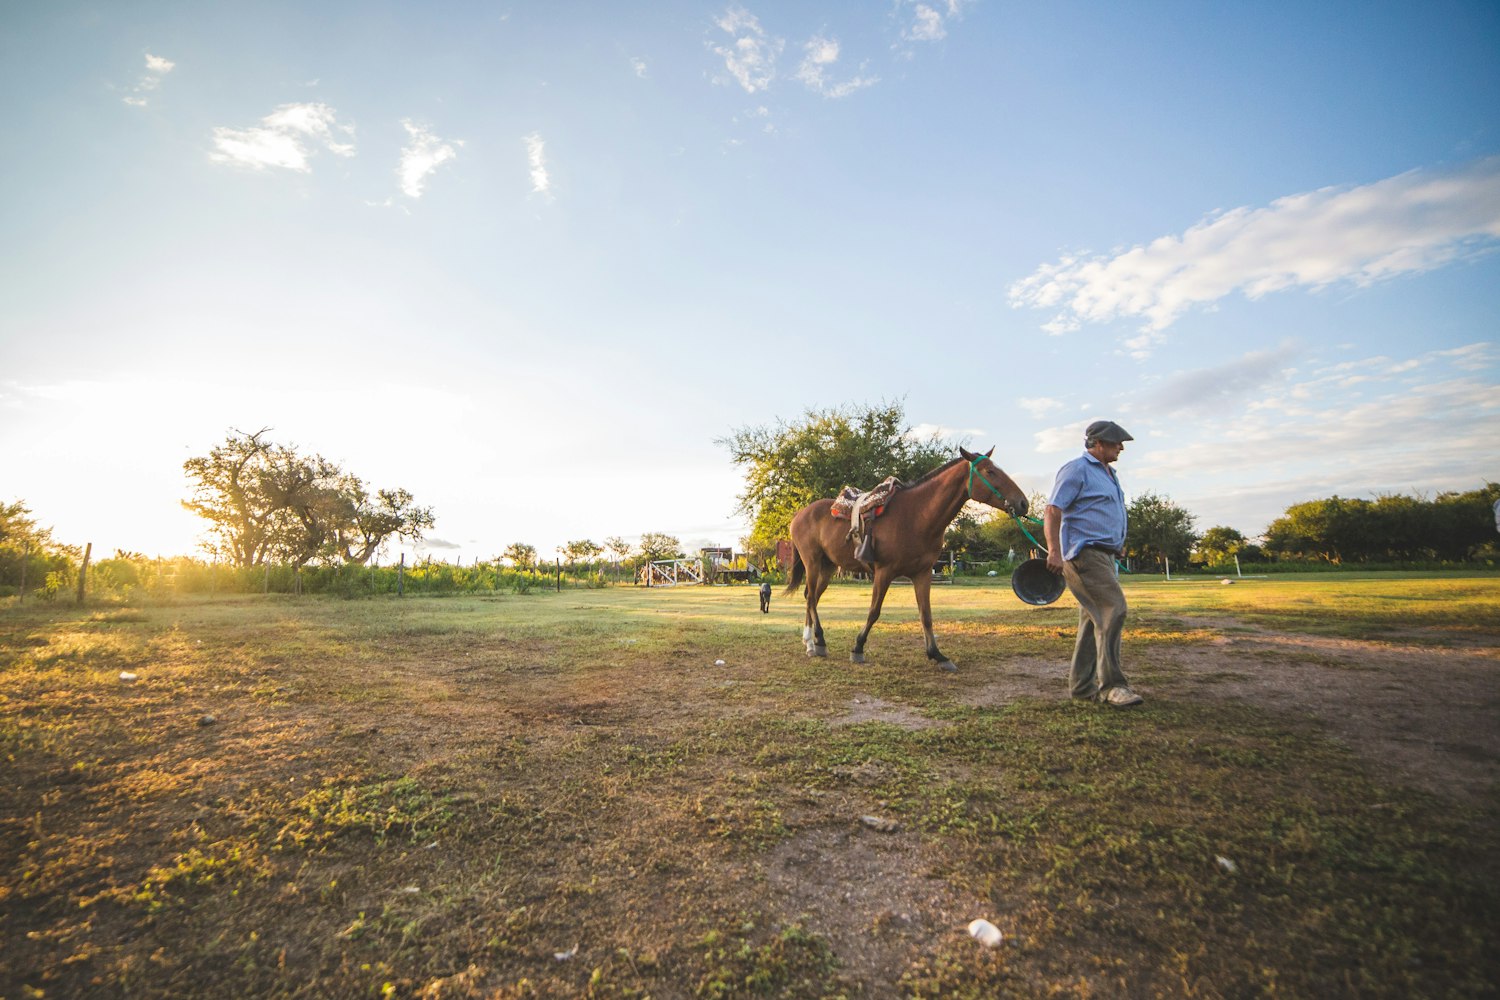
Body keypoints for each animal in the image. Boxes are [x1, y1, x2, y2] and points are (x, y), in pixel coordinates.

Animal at [783, 446, 1029, 671]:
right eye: (990, 471)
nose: (1023, 503)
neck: (917, 516)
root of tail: (799, 515)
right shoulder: (884, 572)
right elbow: (874, 611)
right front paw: (858, 648)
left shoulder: (922, 573)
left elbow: (926, 615)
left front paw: (937, 655)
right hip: (813, 563)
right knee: (811, 598)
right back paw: (817, 642)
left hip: (828, 567)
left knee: (811, 597)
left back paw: (812, 643)